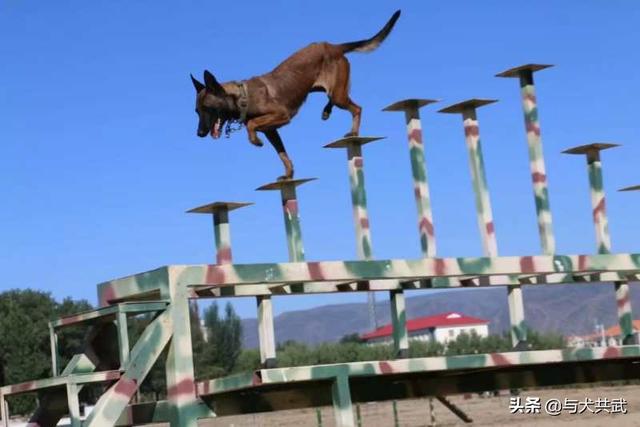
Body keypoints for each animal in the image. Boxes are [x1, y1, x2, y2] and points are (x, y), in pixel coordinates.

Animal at [190, 10, 400, 181]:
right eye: (197, 111)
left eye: (207, 108)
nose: (199, 133)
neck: (243, 97)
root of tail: (334, 46)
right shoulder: (272, 131)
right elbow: (282, 153)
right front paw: (289, 174)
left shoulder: (282, 116)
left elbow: (252, 124)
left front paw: (255, 141)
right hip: (327, 89)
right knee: (334, 100)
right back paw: (326, 111)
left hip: (338, 94)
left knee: (356, 108)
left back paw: (353, 131)